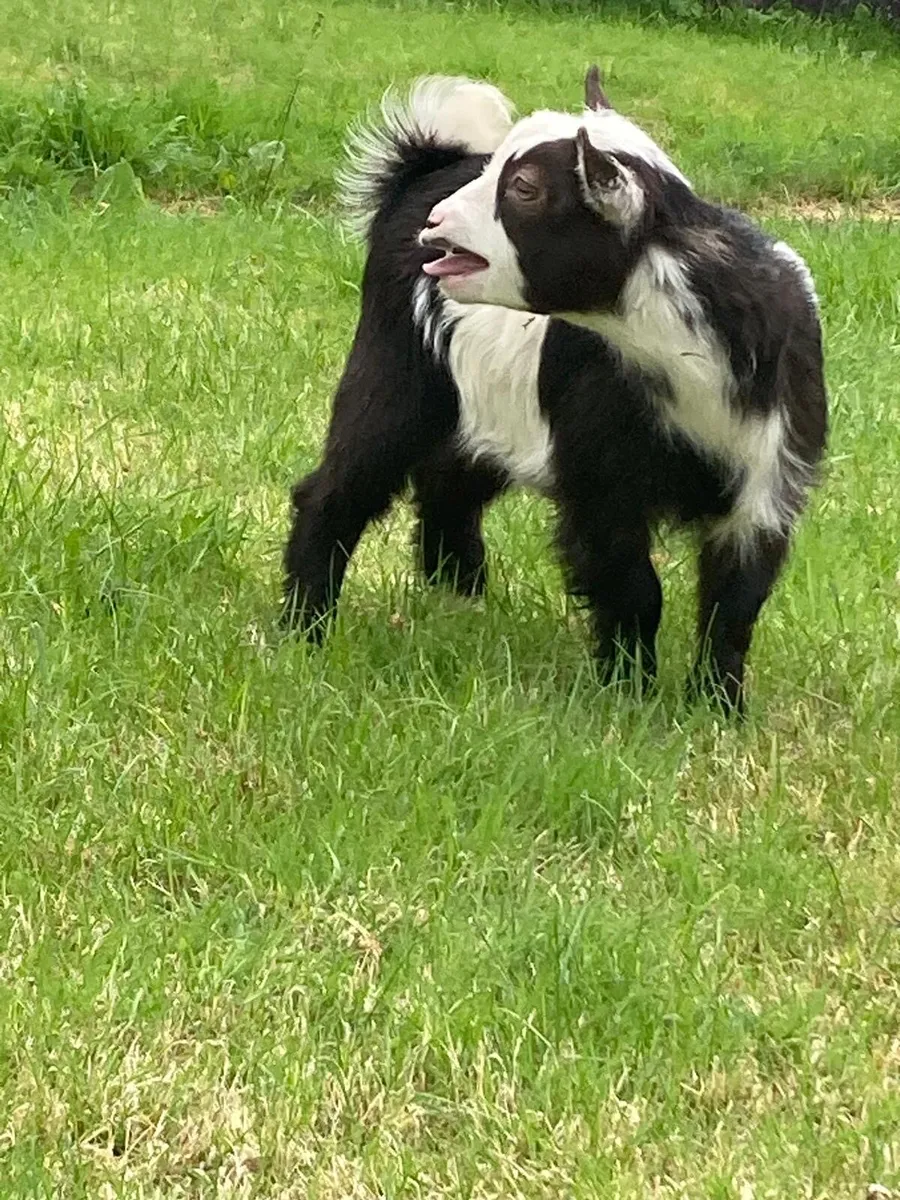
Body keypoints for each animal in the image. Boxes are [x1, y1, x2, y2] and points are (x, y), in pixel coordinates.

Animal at [418, 87, 827, 710]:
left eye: (526, 187)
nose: (436, 222)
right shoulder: (601, 477)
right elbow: (633, 586)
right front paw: (629, 690)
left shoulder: (768, 482)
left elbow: (734, 605)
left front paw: (719, 706)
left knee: (448, 480)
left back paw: (455, 592)